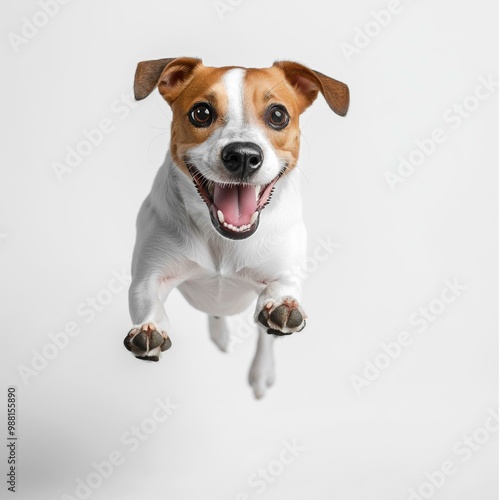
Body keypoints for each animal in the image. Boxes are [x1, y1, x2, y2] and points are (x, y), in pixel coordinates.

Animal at [124, 56, 348, 396]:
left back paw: (261, 370)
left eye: (278, 115)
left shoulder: (284, 272)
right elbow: (148, 299)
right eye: (201, 112)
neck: (225, 242)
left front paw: (282, 305)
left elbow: (283, 289)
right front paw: (150, 328)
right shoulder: (149, 275)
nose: (242, 155)